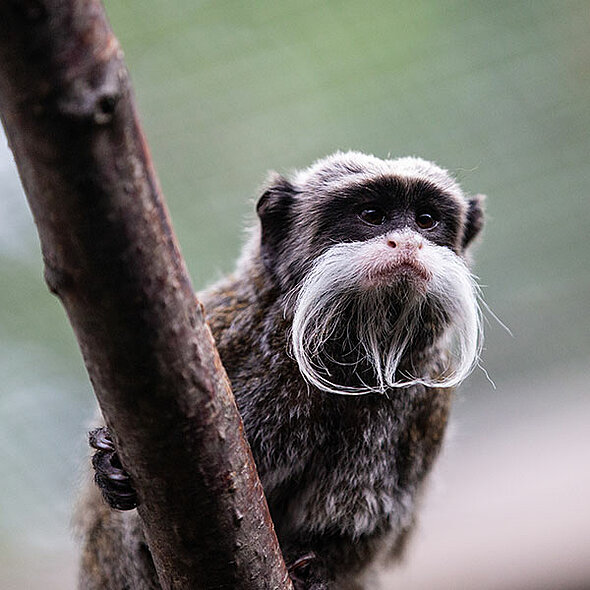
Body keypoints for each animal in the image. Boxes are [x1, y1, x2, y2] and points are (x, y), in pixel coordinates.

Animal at [76, 154, 488, 590]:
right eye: (372, 215)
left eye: (426, 220)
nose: (407, 242)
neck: (348, 357)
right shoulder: (222, 326)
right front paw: (111, 469)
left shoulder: (427, 400)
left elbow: (364, 521)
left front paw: (316, 570)